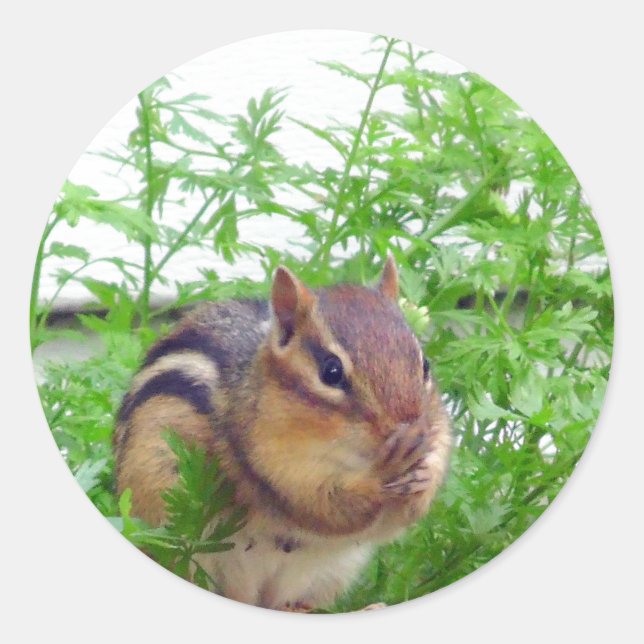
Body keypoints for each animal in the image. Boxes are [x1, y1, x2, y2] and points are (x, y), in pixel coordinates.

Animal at [113, 257, 451, 611]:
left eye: (425, 366)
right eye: (331, 371)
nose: (413, 430)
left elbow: (401, 516)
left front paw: (425, 477)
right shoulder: (270, 459)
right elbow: (319, 503)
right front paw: (381, 475)